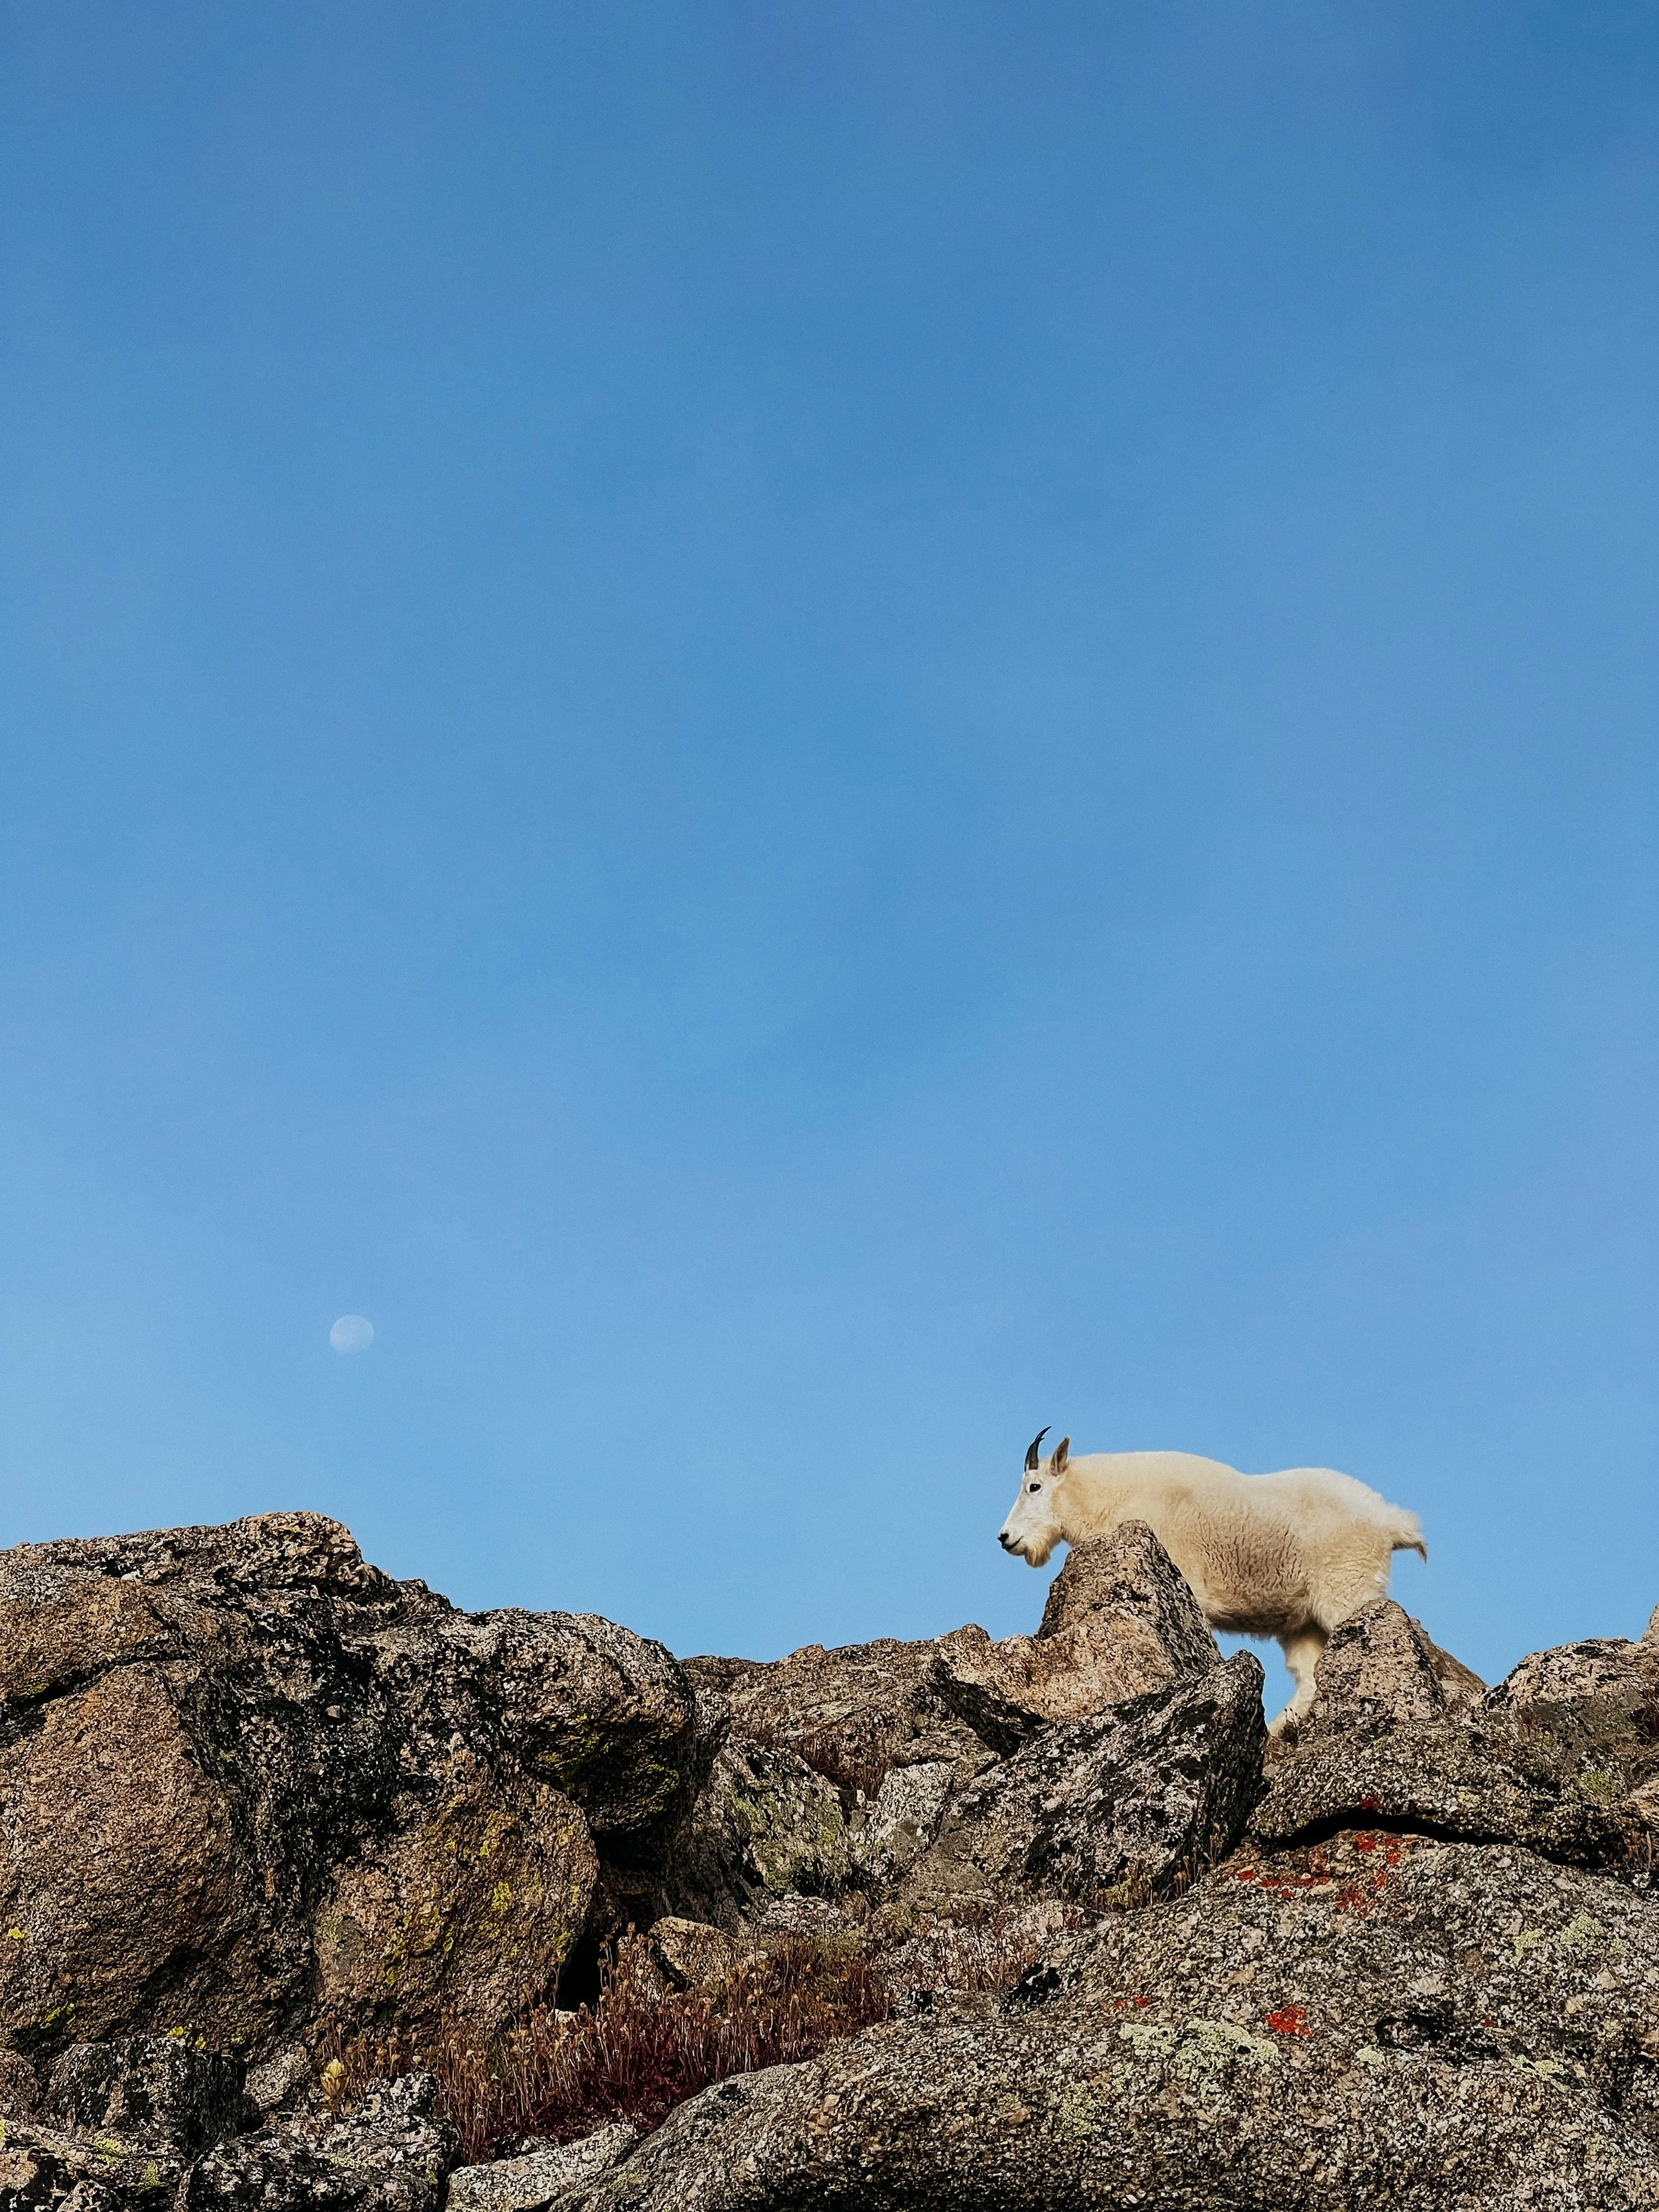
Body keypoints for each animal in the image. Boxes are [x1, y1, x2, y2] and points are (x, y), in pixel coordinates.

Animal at [998, 1429, 1427, 1729]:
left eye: (1034, 1486)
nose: (1006, 1537)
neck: (1109, 1498)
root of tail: (1390, 1521)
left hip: (1348, 1591)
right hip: (1304, 1623)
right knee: (1310, 1677)